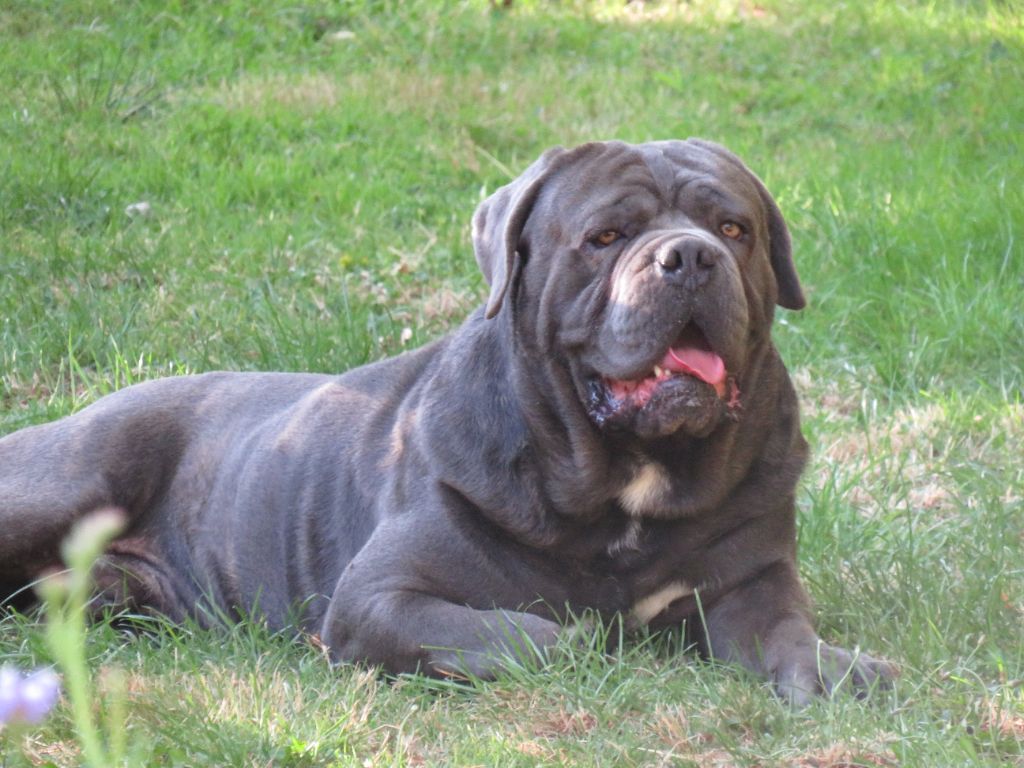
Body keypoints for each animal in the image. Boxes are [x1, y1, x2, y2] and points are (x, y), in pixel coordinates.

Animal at [0, 141, 892, 708]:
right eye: (607, 236)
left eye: (734, 228)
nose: (691, 255)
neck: (627, 478)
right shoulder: (380, 598)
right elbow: (549, 634)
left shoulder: (751, 581)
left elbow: (786, 631)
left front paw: (838, 670)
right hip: (73, 474)